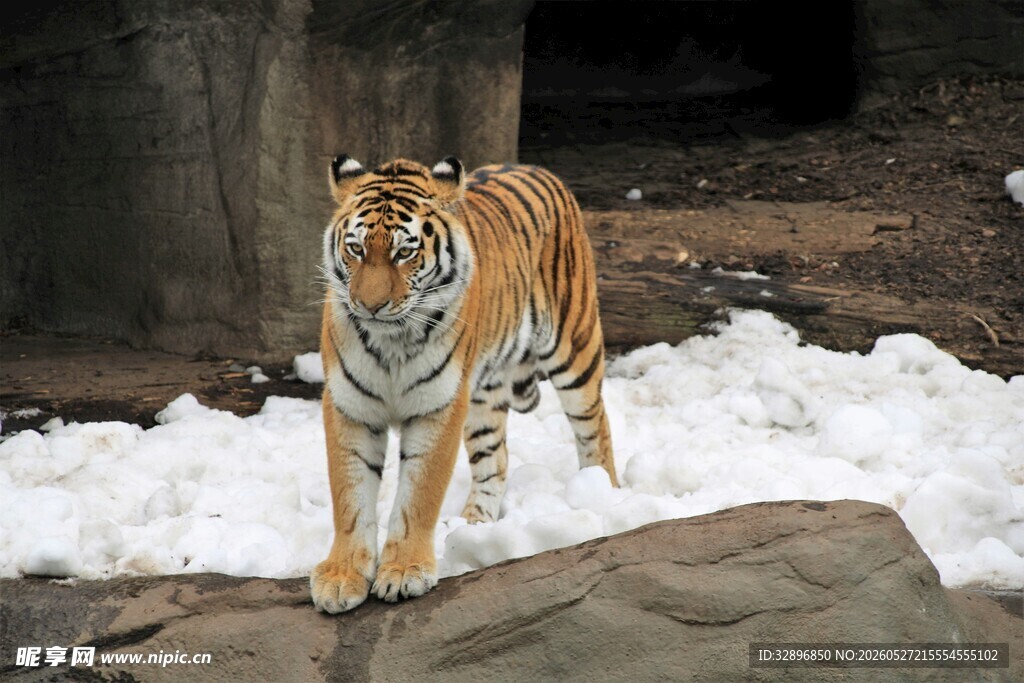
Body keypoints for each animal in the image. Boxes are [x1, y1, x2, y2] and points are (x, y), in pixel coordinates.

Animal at [309, 154, 617, 613]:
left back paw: (604, 495)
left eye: (404, 252)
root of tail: (537, 168)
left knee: (595, 426)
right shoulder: (350, 405)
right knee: (496, 459)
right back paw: (475, 526)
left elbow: (418, 494)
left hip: (574, 346)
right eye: (356, 249)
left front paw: (404, 572)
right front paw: (341, 577)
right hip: (483, 398)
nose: (369, 306)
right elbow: (351, 496)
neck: (391, 341)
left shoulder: (438, 406)